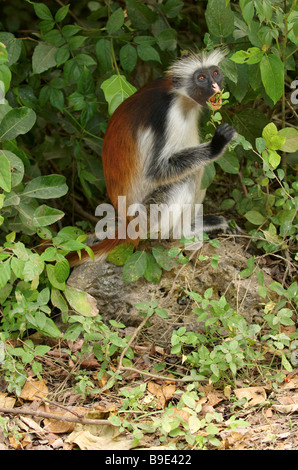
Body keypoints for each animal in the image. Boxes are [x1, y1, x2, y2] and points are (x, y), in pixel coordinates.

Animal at [68, 51, 236, 266]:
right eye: (201, 78)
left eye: (215, 73)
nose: (215, 86)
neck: (182, 98)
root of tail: (127, 223)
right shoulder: (166, 113)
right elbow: (155, 171)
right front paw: (216, 146)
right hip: (148, 216)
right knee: (187, 178)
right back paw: (183, 232)